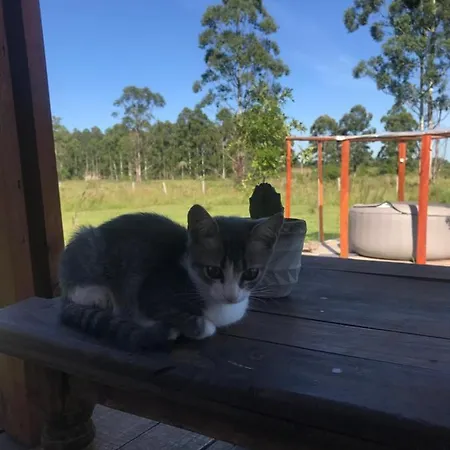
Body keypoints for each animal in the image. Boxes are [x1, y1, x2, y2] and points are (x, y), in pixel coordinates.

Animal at [58, 204, 284, 351]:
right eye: (213, 271)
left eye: (251, 273)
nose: (231, 296)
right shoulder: (150, 291)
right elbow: (187, 319)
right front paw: (200, 326)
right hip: (88, 244)